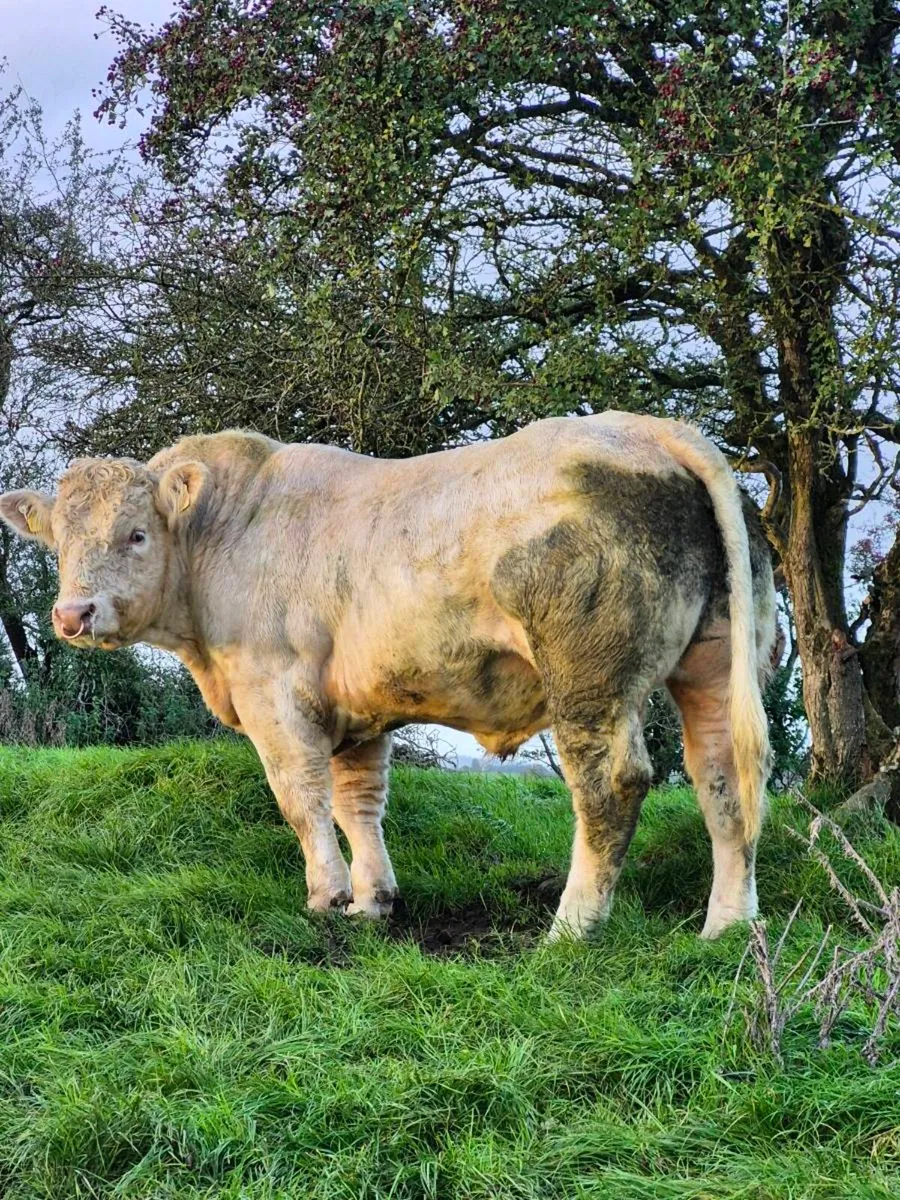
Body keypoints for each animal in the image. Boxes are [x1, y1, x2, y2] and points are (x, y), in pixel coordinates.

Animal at [0, 412, 776, 940]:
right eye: (59, 541)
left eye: (136, 534)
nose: (72, 613)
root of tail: (645, 429)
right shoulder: (357, 708)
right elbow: (358, 804)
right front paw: (373, 901)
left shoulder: (275, 694)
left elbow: (303, 798)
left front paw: (326, 897)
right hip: (712, 663)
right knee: (723, 779)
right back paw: (726, 927)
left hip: (589, 677)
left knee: (610, 787)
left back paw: (570, 930)